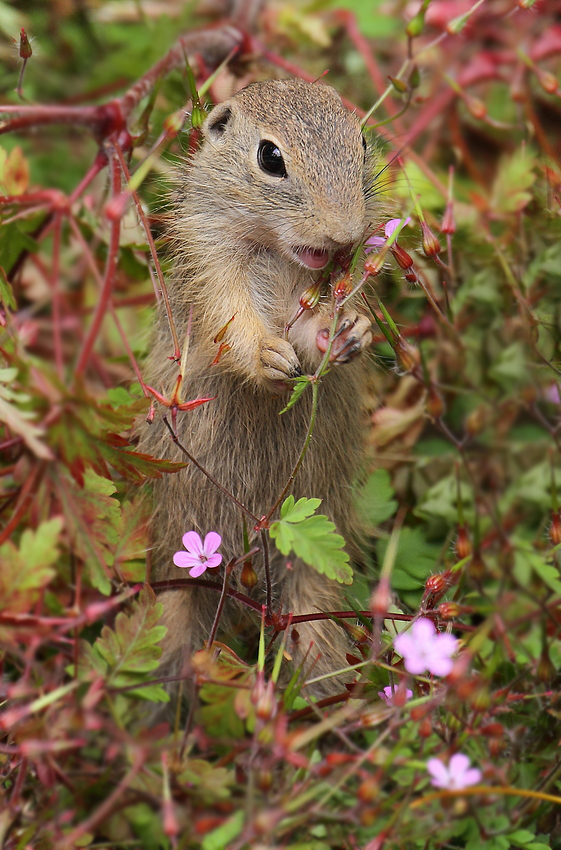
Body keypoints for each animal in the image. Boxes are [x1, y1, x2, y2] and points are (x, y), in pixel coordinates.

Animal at [138, 76, 378, 692]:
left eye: (362, 142)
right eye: (270, 158)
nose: (344, 235)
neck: (276, 249)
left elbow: (316, 327)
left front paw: (351, 331)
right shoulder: (212, 260)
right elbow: (232, 321)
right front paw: (269, 356)